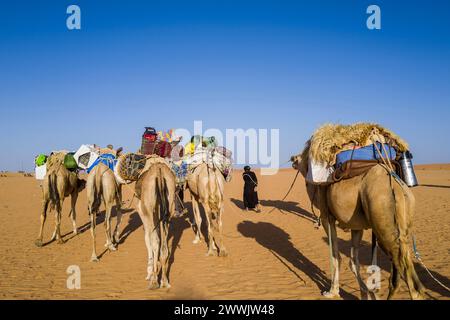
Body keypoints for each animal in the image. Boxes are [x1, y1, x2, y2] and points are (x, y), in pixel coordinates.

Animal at [290, 155, 424, 300]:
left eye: (297, 159)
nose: (292, 159)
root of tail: (396, 187)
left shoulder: (327, 219)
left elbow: (336, 256)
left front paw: (332, 291)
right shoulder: (356, 226)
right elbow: (353, 262)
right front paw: (367, 294)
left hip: (381, 214)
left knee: (405, 271)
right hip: (404, 220)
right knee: (404, 257)